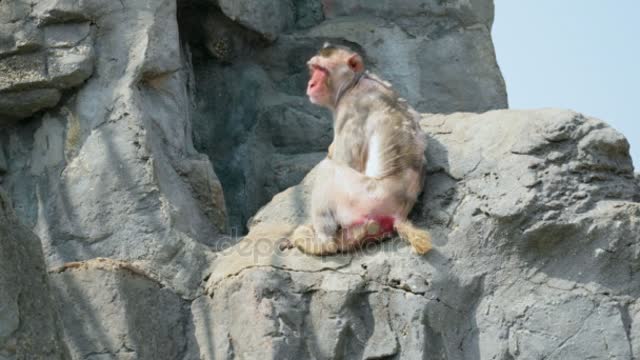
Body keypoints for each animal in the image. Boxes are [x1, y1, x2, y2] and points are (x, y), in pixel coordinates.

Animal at [286, 43, 432, 256]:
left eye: (322, 70)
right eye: (313, 69)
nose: (311, 84)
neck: (354, 83)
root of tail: (398, 213)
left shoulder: (350, 108)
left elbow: (343, 160)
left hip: (363, 199)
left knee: (328, 169)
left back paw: (323, 243)